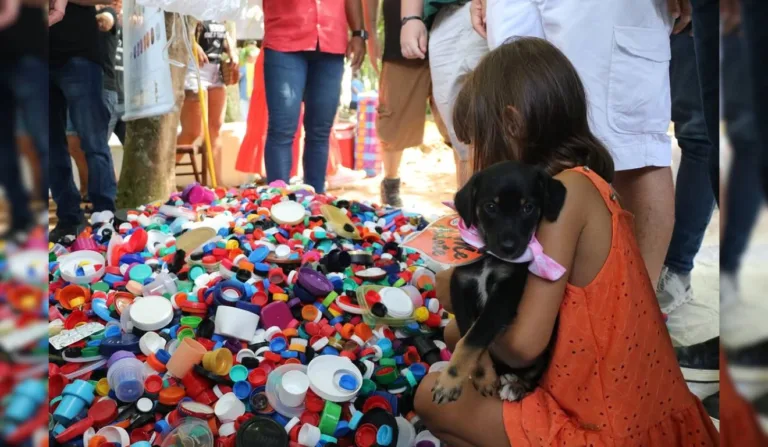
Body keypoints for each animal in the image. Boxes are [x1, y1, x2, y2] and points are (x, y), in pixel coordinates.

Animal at [436, 162, 568, 406]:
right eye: (490, 206)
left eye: (528, 208)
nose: (508, 248)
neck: (490, 257)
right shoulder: (461, 289)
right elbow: (470, 333)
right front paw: (484, 377)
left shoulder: (505, 295)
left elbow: (475, 336)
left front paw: (449, 380)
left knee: (533, 375)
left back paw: (515, 387)